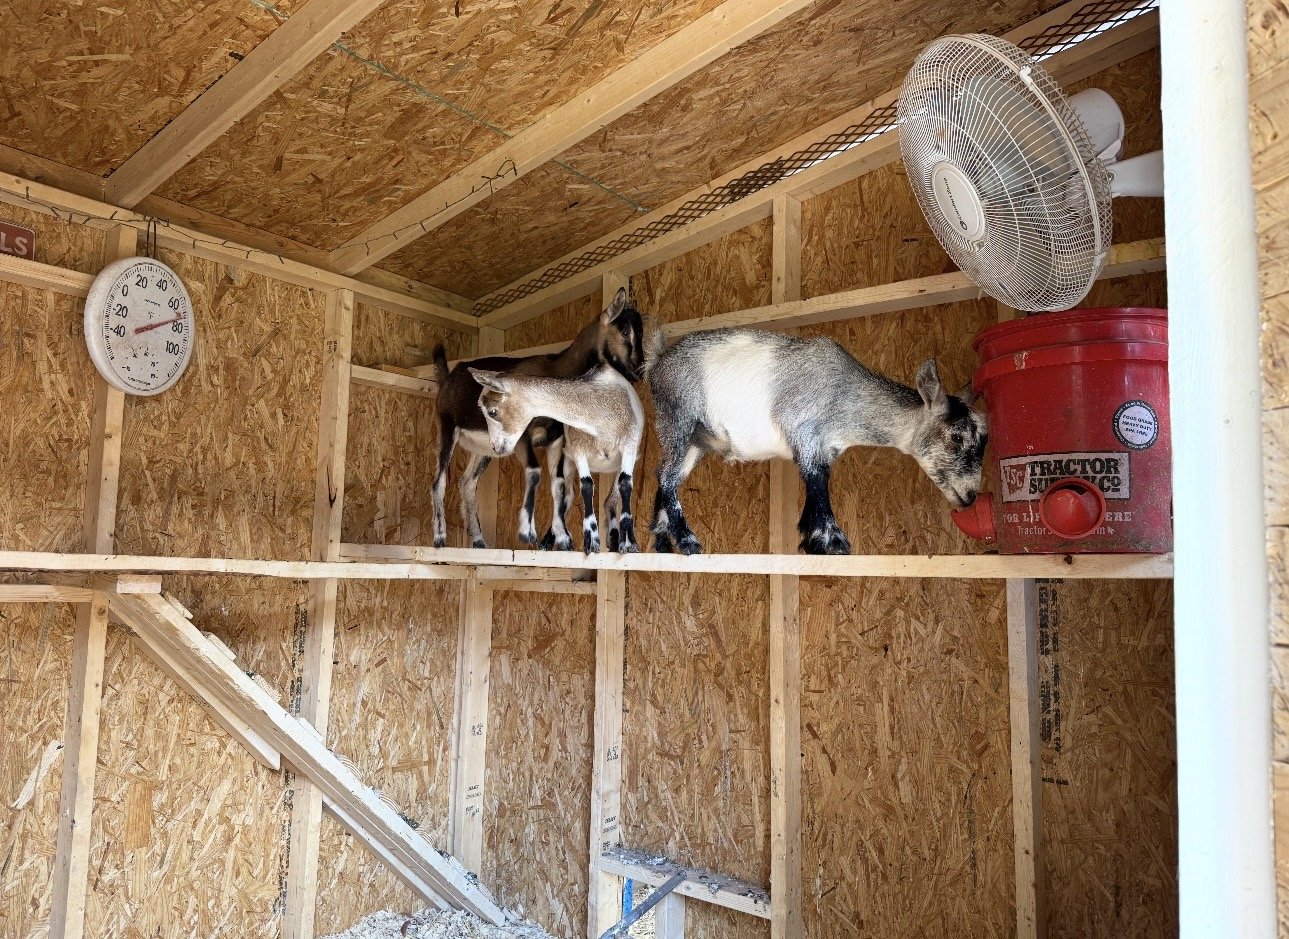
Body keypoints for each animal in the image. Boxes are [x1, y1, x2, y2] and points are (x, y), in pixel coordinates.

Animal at [470, 365, 645, 553]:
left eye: (492, 412)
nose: (495, 446)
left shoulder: (629, 445)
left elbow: (625, 484)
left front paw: (630, 543)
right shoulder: (577, 448)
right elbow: (586, 486)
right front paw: (591, 541)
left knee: (609, 499)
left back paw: (613, 540)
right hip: (568, 459)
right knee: (568, 493)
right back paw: (551, 541)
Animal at [647, 328, 987, 555]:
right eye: (957, 436)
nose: (970, 496)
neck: (847, 397)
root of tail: (657, 363)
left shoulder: (825, 447)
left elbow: (816, 484)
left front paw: (811, 541)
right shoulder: (804, 429)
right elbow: (817, 480)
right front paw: (833, 541)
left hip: (694, 441)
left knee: (665, 477)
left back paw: (663, 541)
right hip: (678, 419)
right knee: (668, 478)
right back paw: (687, 542)